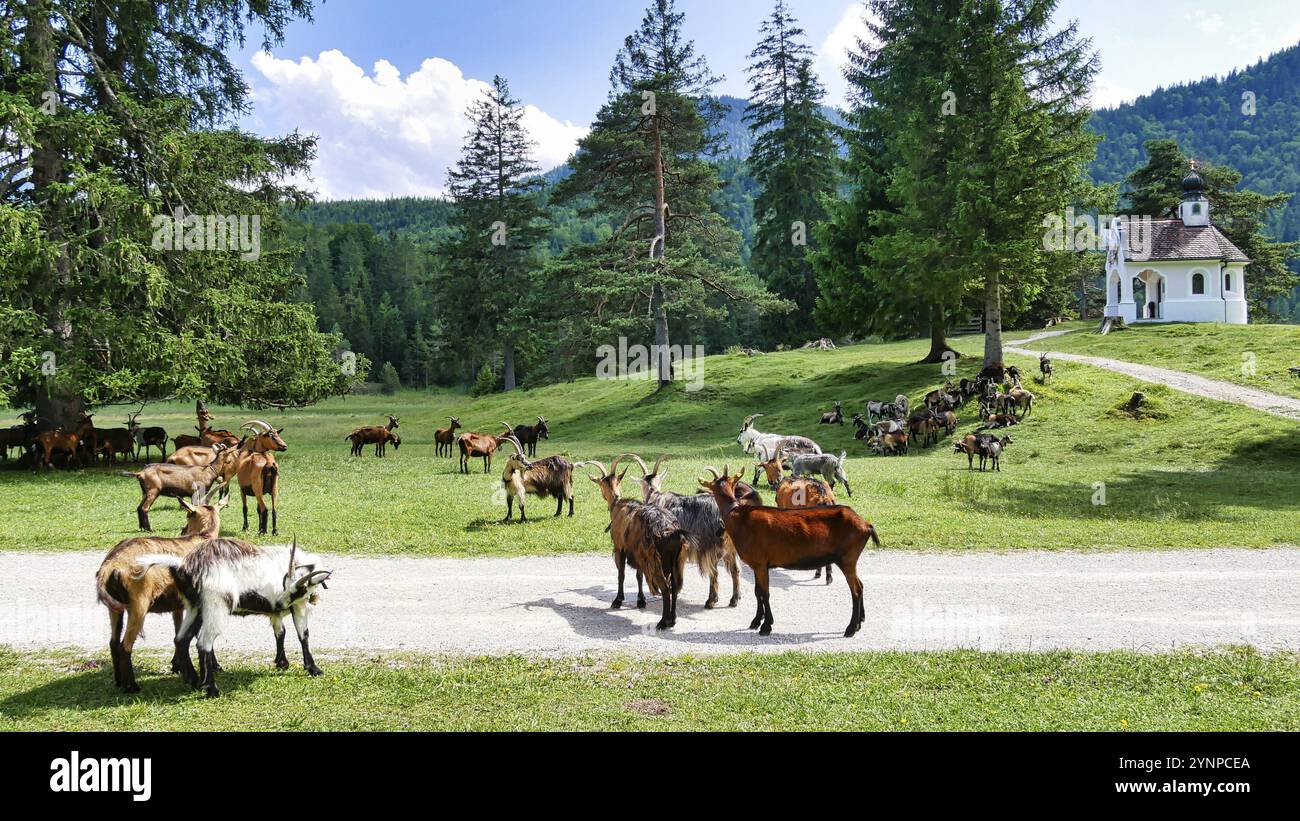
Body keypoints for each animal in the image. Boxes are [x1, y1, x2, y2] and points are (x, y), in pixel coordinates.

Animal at [94, 491, 227, 691]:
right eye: (188, 514)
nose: (183, 530)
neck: (203, 537)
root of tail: (109, 566)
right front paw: (215, 666)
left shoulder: (178, 605)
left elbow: (178, 632)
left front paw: (177, 666)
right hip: (139, 604)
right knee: (125, 646)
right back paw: (132, 687)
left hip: (115, 607)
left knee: (113, 642)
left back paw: (119, 681)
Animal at [134, 537, 330, 701]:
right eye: (295, 587)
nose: (280, 603)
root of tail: (184, 565)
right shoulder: (299, 605)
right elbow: (303, 634)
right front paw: (313, 669)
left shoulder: (276, 613)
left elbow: (280, 633)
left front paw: (282, 663)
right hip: (216, 605)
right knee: (203, 643)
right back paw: (212, 689)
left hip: (195, 607)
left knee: (181, 639)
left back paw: (194, 681)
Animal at [696, 467, 878, 633]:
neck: (738, 517)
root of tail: (866, 525)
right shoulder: (757, 565)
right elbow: (757, 592)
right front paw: (756, 621)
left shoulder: (761, 564)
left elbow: (765, 593)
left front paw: (766, 626)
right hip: (850, 560)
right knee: (860, 585)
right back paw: (860, 621)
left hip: (847, 559)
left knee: (856, 589)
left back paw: (851, 628)